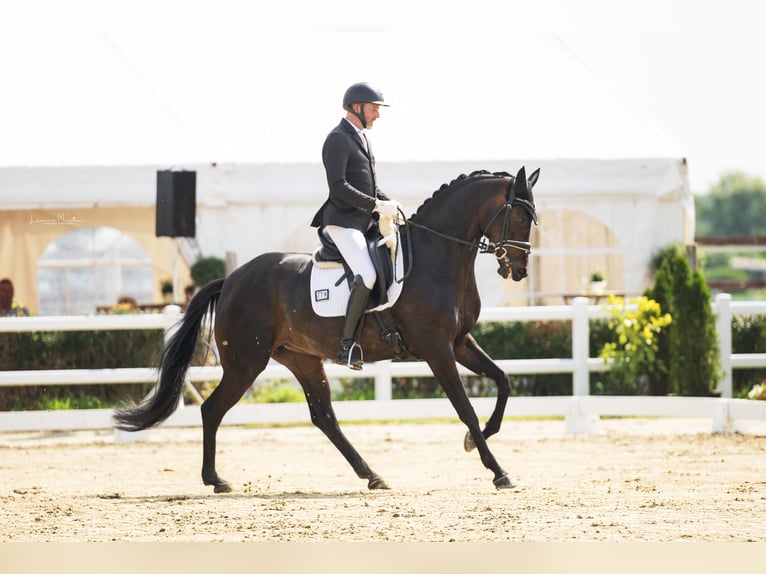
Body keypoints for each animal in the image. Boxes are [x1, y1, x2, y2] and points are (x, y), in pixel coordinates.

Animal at [114, 166, 540, 496]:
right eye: (520, 218)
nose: (519, 270)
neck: (437, 259)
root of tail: (232, 279)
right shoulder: (437, 349)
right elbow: (465, 407)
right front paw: (498, 471)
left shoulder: (460, 341)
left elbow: (503, 380)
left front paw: (480, 439)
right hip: (246, 362)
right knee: (212, 409)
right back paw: (216, 480)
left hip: (302, 358)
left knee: (324, 417)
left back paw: (372, 475)